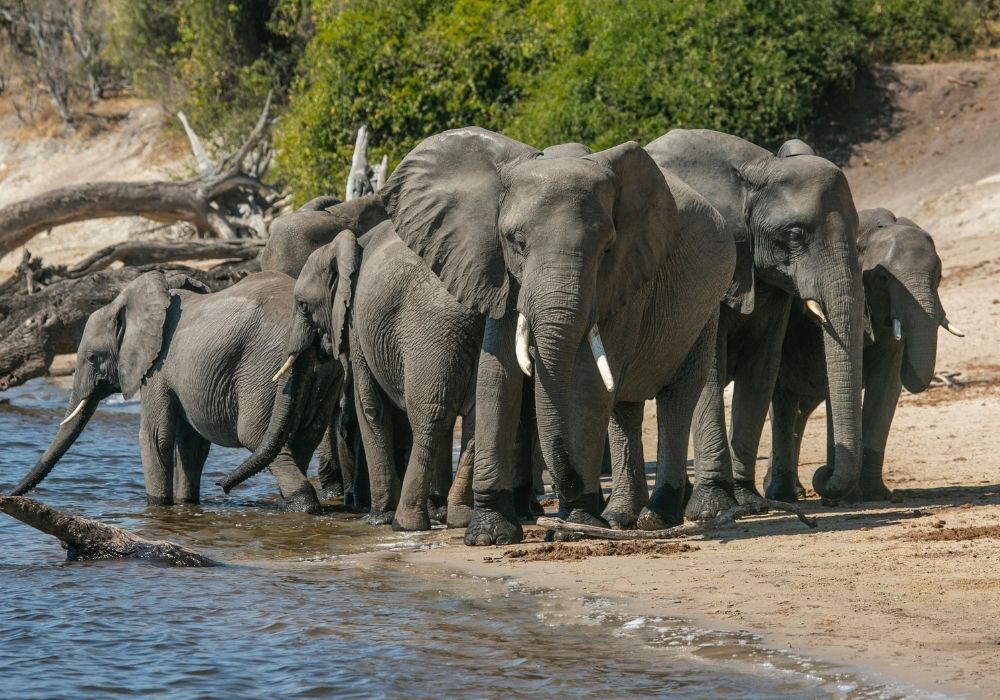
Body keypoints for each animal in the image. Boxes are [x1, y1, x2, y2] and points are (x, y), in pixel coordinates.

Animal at [8, 270, 337, 514]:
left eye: (92, 358)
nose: (9, 497)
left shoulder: (156, 367)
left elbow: (155, 437)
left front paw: (157, 507)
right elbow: (191, 443)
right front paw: (185, 505)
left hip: (264, 368)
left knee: (255, 436)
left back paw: (302, 505)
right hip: (325, 373)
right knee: (304, 438)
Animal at [223, 221, 488, 531]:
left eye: (302, 305)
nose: (221, 486)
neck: (348, 246)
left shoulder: (357, 322)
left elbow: (370, 406)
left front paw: (378, 517)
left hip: (432, 332)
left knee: (430, 416)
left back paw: (405, 522)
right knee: (478, 412)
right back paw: (457, 516)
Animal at [379, 127, 735, 545]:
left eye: (607, 248)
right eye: (516, 242)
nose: (564, 491)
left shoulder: (624, 279)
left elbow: (587, 383)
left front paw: (575, 526)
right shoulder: (497, 271)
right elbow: (497, 378)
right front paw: (490, 533)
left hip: (706, 305)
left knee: (677, 396)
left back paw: (654, 518)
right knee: (624, 408)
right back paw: (618, 518)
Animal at [644, 130, 865, 522]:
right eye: (794, 235)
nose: (822, 477)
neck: (757, 170)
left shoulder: (771, 283)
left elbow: (762, 369)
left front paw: (748, 503)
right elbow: (709, 369)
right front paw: (712, 508)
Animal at [765, 208, 964, 501]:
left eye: (938, 277)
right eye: (883, 279)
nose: (822, 475)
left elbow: (886, 384)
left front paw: (877, 495)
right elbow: (836, 384)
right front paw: (845, 494)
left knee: (800, 408)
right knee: (783, 401)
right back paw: (782, 494)